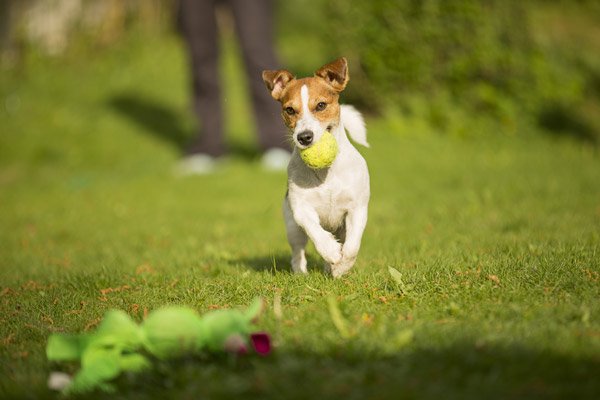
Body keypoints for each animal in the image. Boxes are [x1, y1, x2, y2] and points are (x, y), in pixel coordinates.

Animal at [264, 58, 370, 278]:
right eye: (289, 110)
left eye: (321, 105)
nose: (304, 137)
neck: (326, 173)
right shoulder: (301, 208)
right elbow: (315, 231)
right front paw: (331, 251)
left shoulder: (357, 208)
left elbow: (352, 246)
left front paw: (341, 267)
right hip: (292, 226)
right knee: (298, 251)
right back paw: (301, 272)